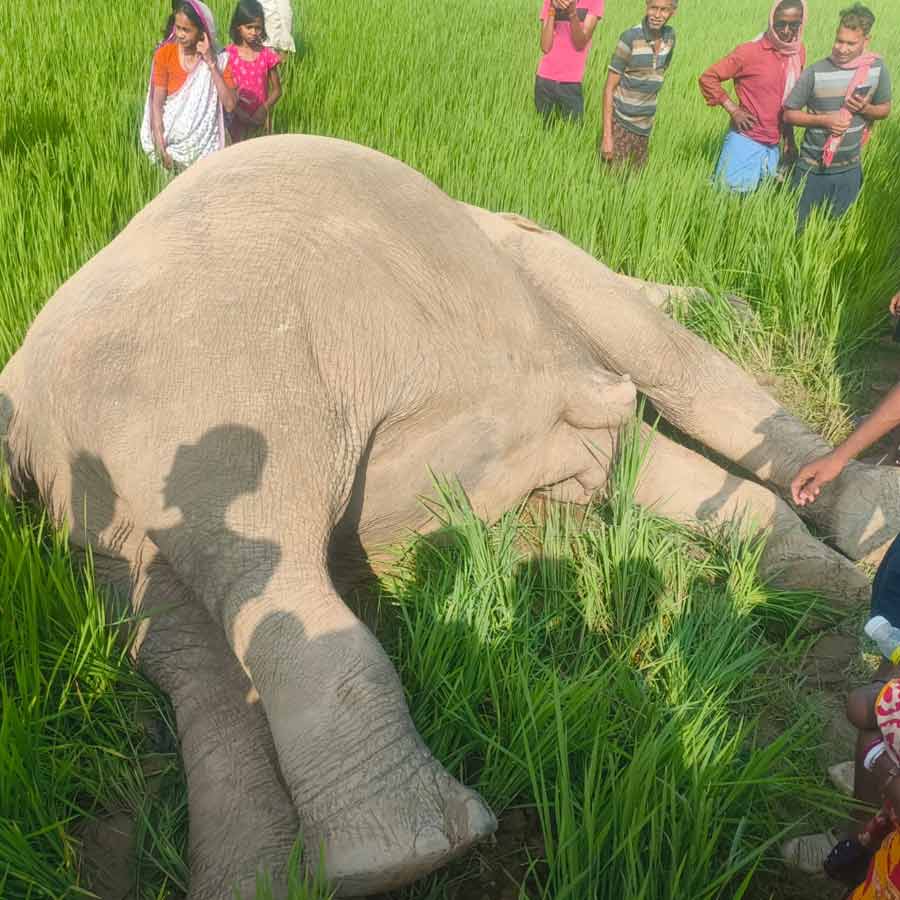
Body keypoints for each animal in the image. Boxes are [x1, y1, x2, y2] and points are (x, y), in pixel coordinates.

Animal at [2, 134, 898, 898]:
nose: (745, 304)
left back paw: (263, 880)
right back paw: (408, 853)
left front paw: (821, 578)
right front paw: (855, 554)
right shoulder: (549, 286)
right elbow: (663, 383)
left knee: (180, 629)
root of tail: (26, 403)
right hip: (224, 389)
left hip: (105, 517)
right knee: (259, 558)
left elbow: (644, 446)